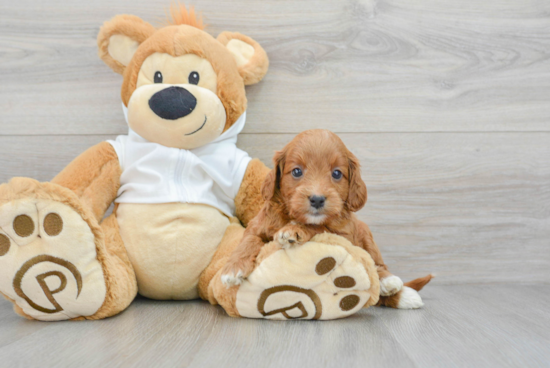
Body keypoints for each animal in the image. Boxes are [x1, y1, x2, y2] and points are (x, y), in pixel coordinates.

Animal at [222, 130, 434, 308]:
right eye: (297, 171)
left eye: (337, 173)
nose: (317, 199)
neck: (292, 215)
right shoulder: (257, 225)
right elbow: (248, 241)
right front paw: (232, 268)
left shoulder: (344, 234)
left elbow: (320, 228)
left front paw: (294, 230)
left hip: (364, 231)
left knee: (376, 264)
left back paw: (390, 283)